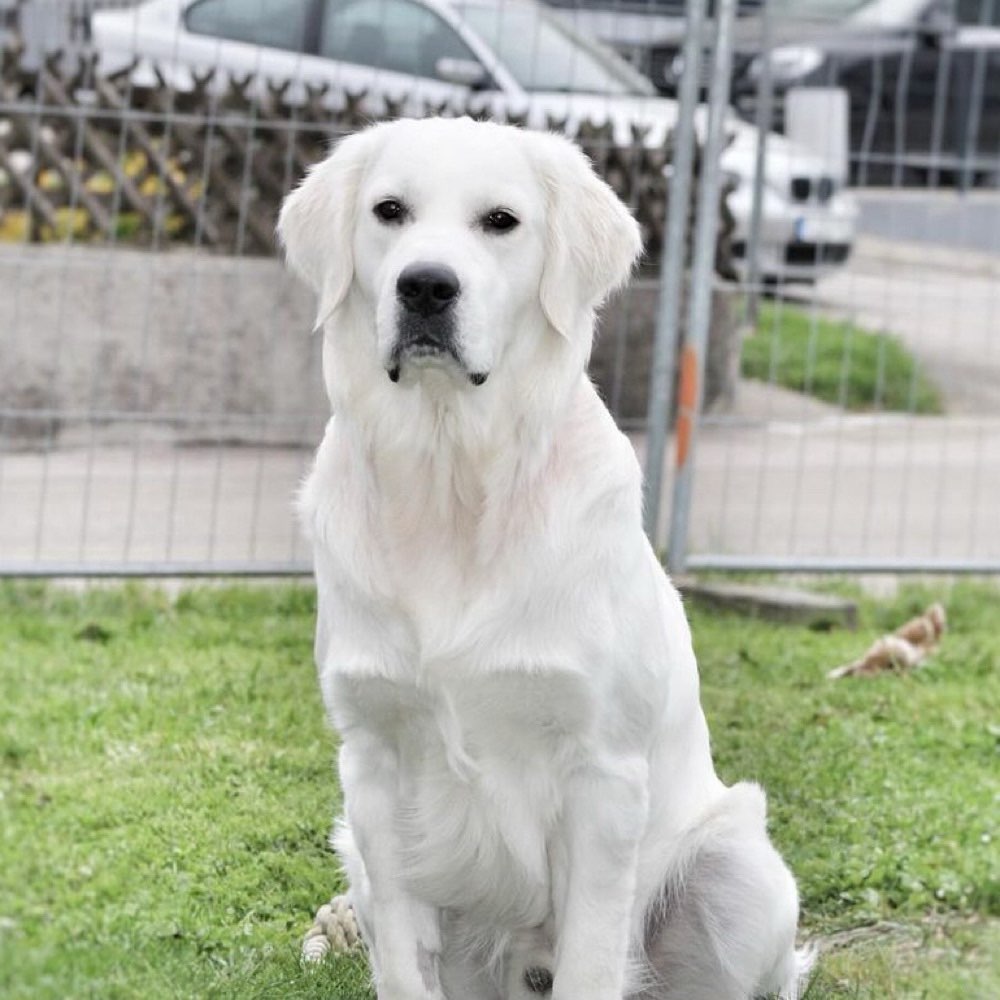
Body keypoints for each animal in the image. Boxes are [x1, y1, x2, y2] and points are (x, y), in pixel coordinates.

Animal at [278, 119, 808, 1000]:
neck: (451, 477)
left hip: (740, 869)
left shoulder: (602, 777)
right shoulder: (373, 765)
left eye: (501, 221)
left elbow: (590, 959)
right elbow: (402, 963)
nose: (425, 287)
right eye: (389, 211)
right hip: (353, 843)